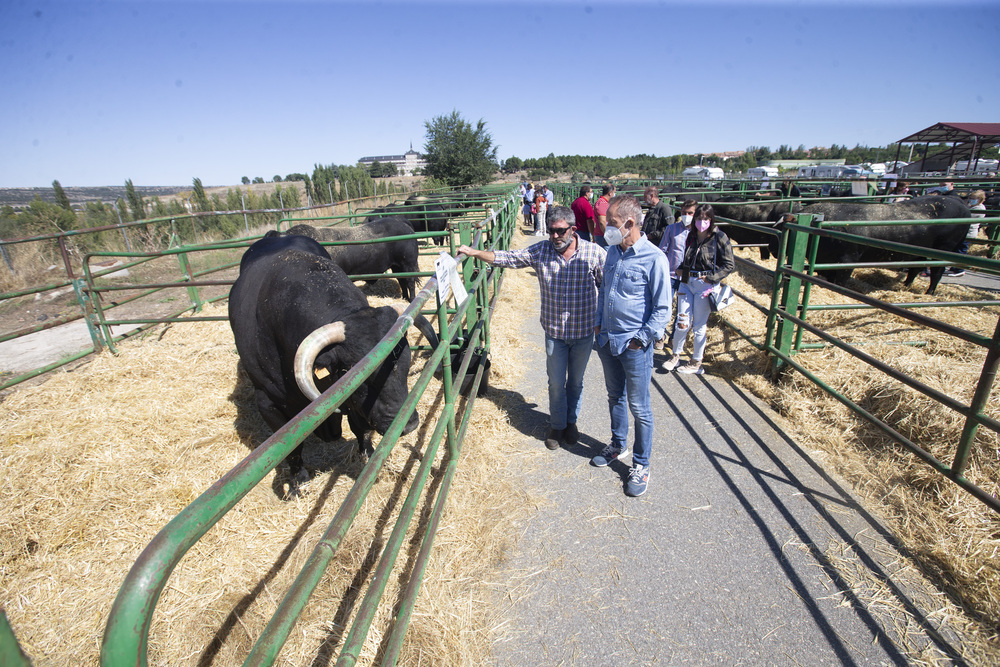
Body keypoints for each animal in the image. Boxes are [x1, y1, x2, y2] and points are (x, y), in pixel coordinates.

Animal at [232, 232, 440, 494]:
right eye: (358, 375)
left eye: (404, 363)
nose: (409, 424)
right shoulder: (268, 404)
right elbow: (290, 449)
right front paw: (298, 481)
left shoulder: (353, 403)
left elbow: (360, 427)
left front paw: (367, 454)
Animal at [286, 219, 418, 300]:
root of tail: (402, 223)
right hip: (397, 266)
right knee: (402, 281)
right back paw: (404, 298)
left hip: (408, 264)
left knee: (410, 282)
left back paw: (411, 299)